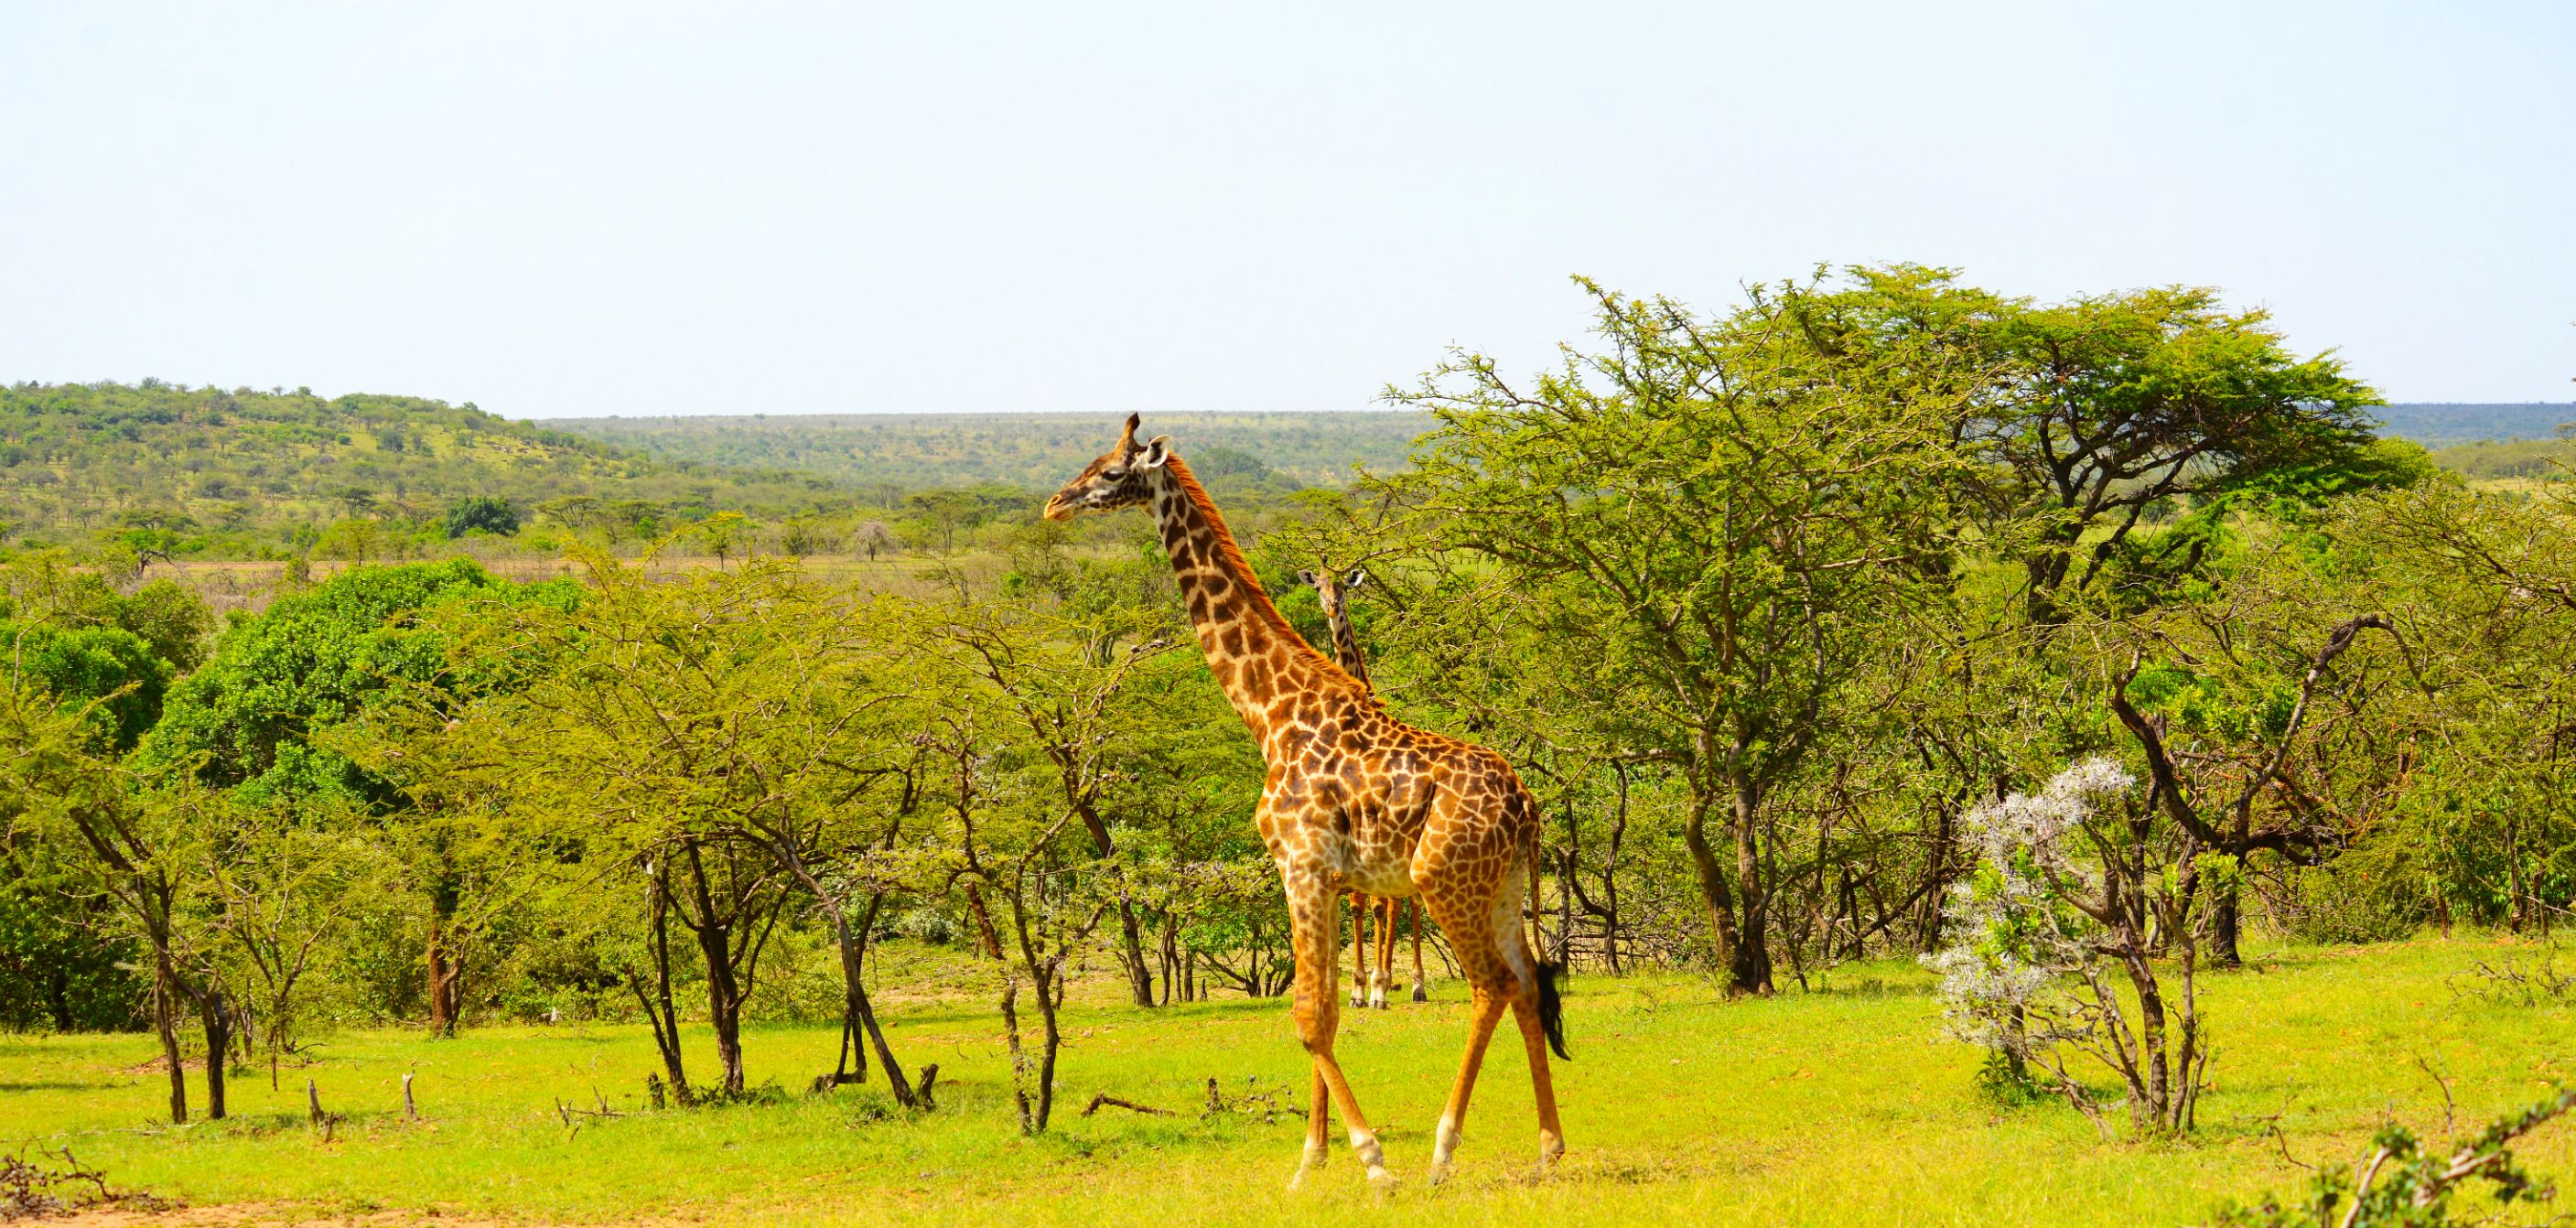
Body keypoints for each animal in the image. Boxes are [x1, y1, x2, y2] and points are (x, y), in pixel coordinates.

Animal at [1294, 566, 1431, 1010]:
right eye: (1319, 587)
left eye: (1344, 587)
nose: (1332, 608)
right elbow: (1356, 905)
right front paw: (1356, 989)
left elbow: (1376, 906)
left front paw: (1377, 985)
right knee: (1393, 901)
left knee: (1406, 902)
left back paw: (1414, 985)